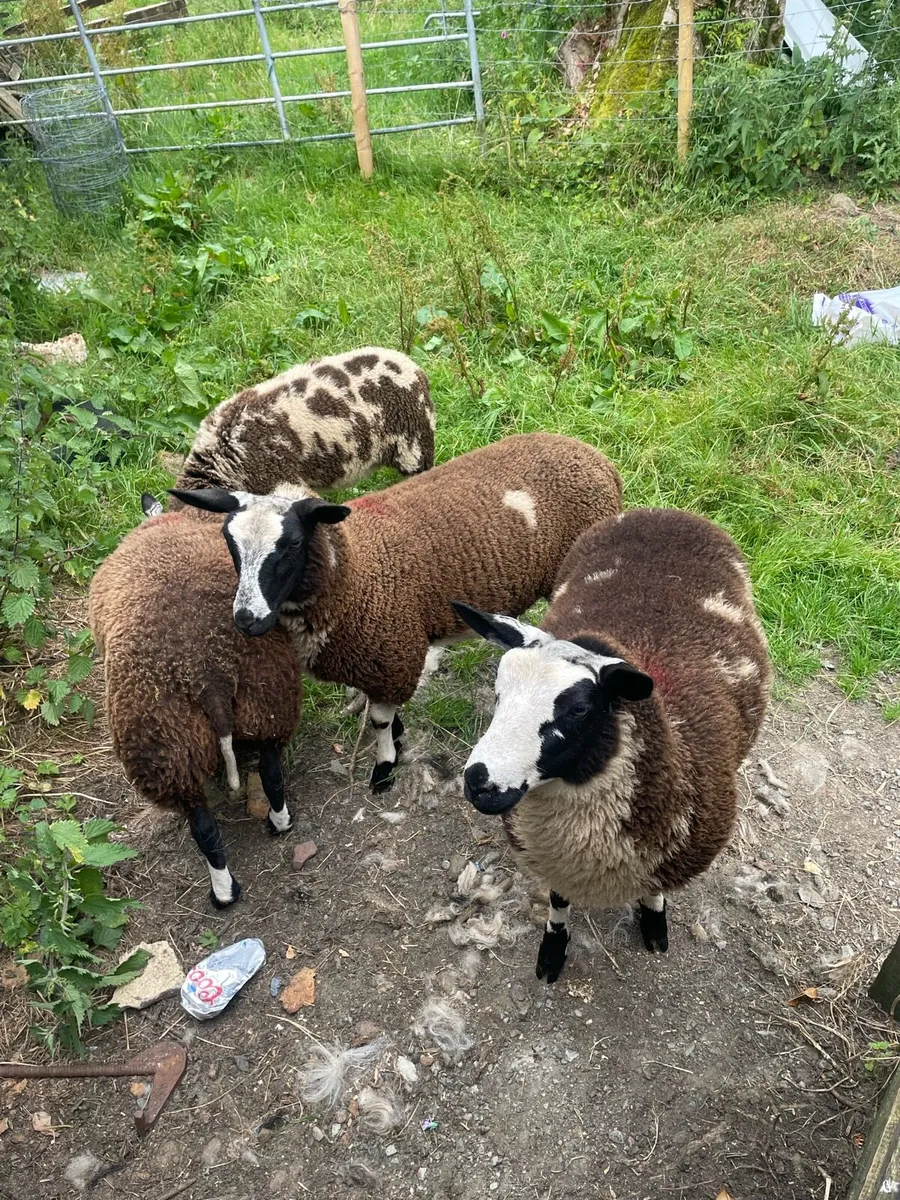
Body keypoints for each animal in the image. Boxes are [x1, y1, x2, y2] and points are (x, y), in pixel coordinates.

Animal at [88, 508, 302, 909]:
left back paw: (224, 893)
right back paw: (280, 824)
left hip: (162, 747)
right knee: (271, 772)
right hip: (269, 698)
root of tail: (207, 675)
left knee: (203, 827)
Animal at [169, 433, 623, 793]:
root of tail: (593, 455)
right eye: (228, 541)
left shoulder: (391, 652)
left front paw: (384, 768)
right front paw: (396, 737)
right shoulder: (377, 658)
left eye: (293, 544)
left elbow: (379, 721)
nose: (247, 618)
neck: (355, 572)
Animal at [451, 507, 771, 983]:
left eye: (580, 709)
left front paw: (654, 925)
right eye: (498, 691)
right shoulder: (555, 860)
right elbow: (558, 903)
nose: (479, 782)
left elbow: (654, 892)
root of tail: (666, 512)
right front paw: (552, 952)